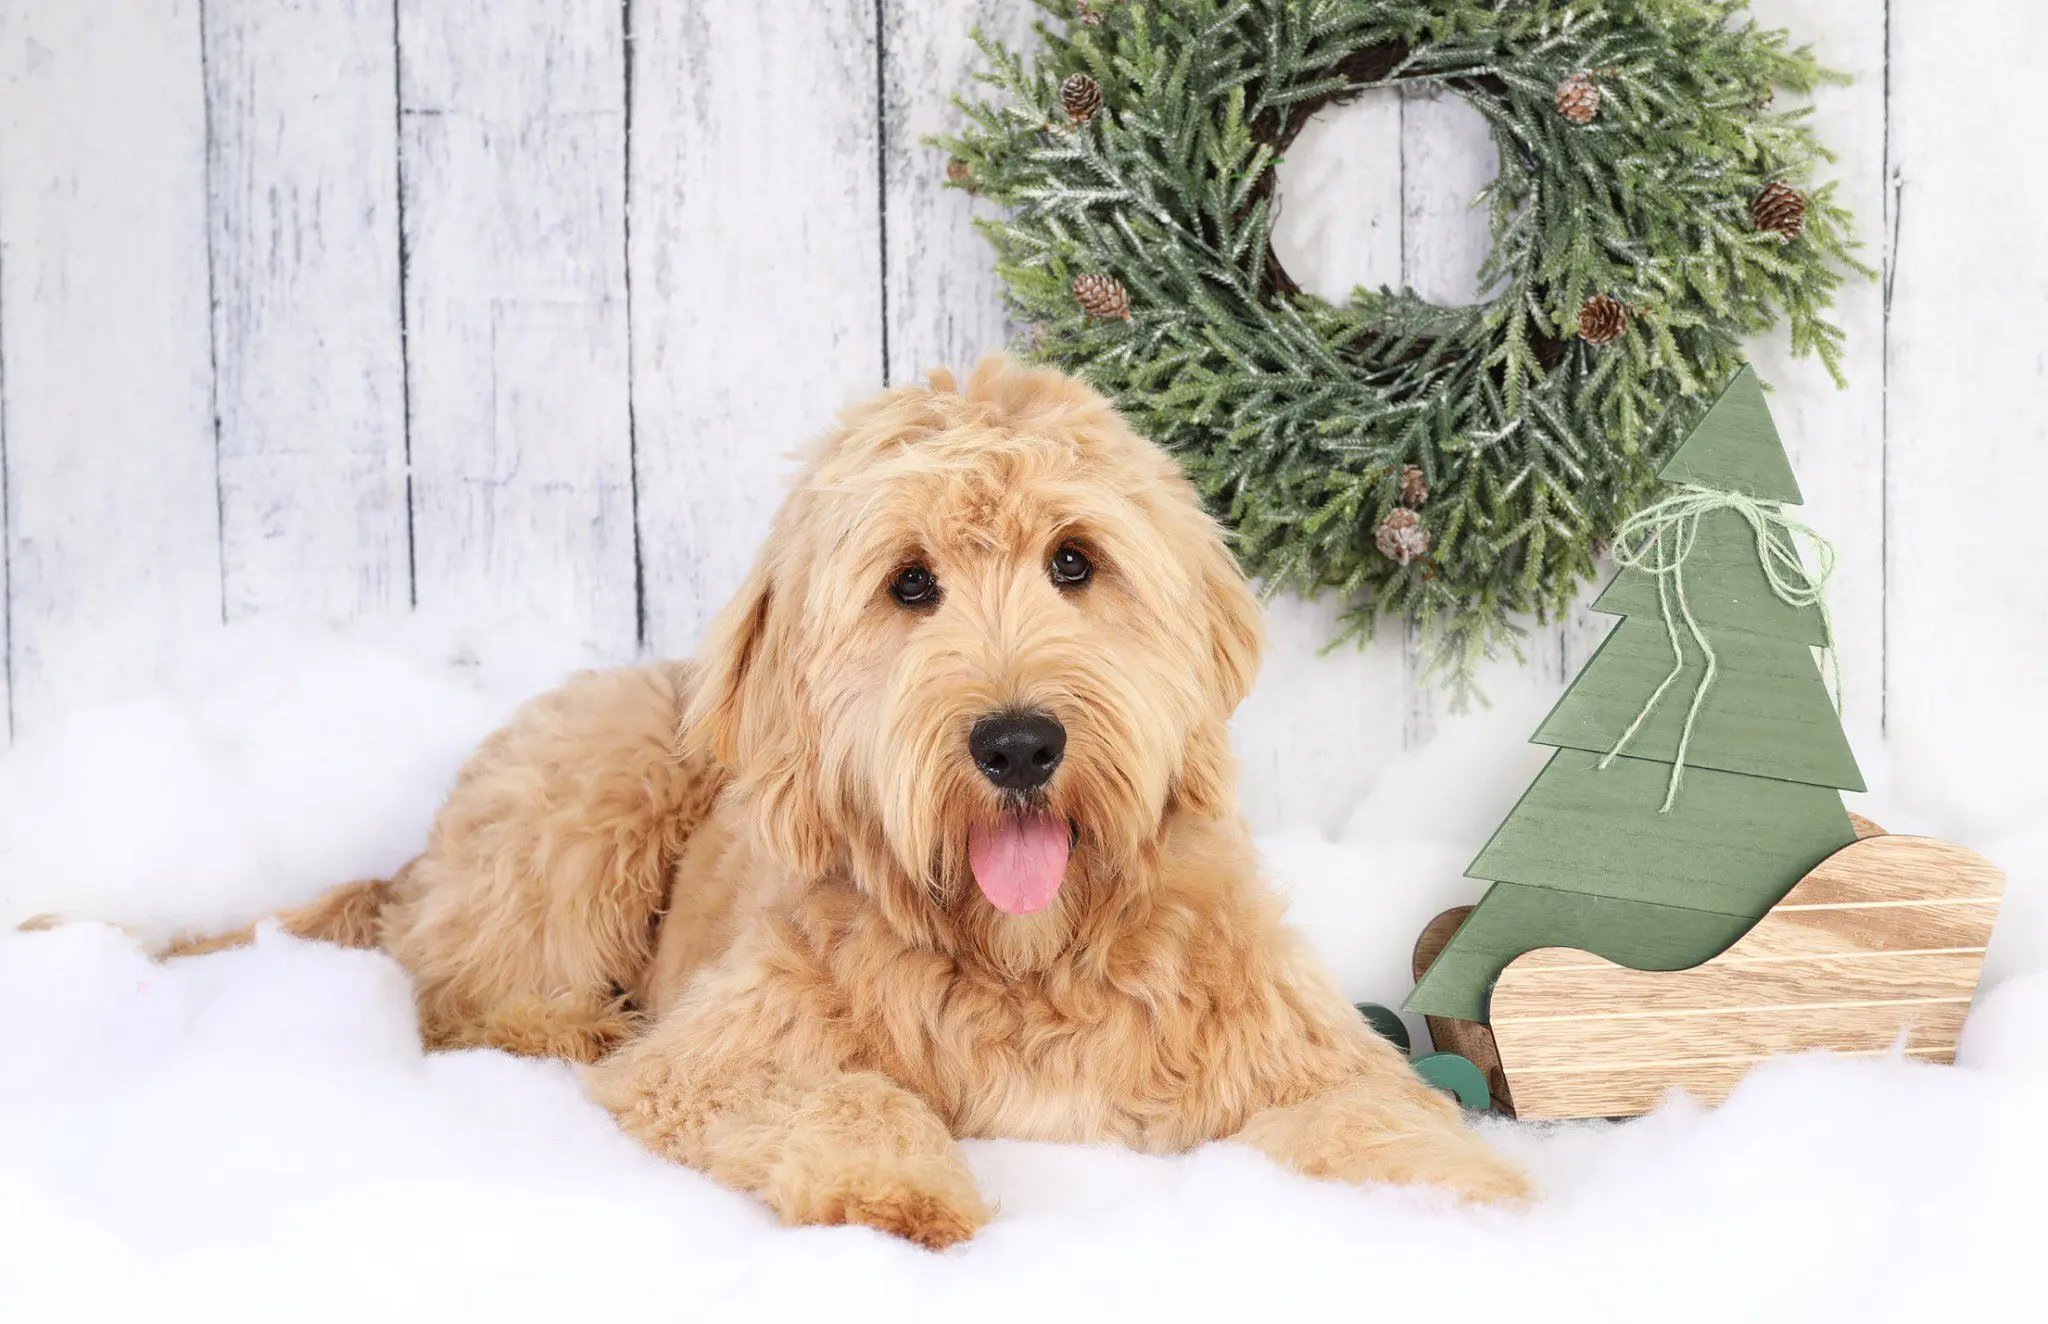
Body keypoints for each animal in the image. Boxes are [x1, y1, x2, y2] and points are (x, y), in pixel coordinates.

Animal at [172, 354, 1523, 1246]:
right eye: (908, 584)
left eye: (1074, 561)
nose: (1018, 743)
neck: (1025, 958)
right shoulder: (721, 1057)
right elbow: (840, 1092)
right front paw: (905, 1196)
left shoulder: (1291, 1050)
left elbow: (1376, 1118)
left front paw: (1471, 1206)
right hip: (597, 783)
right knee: (462, 996)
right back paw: (569, 1026)